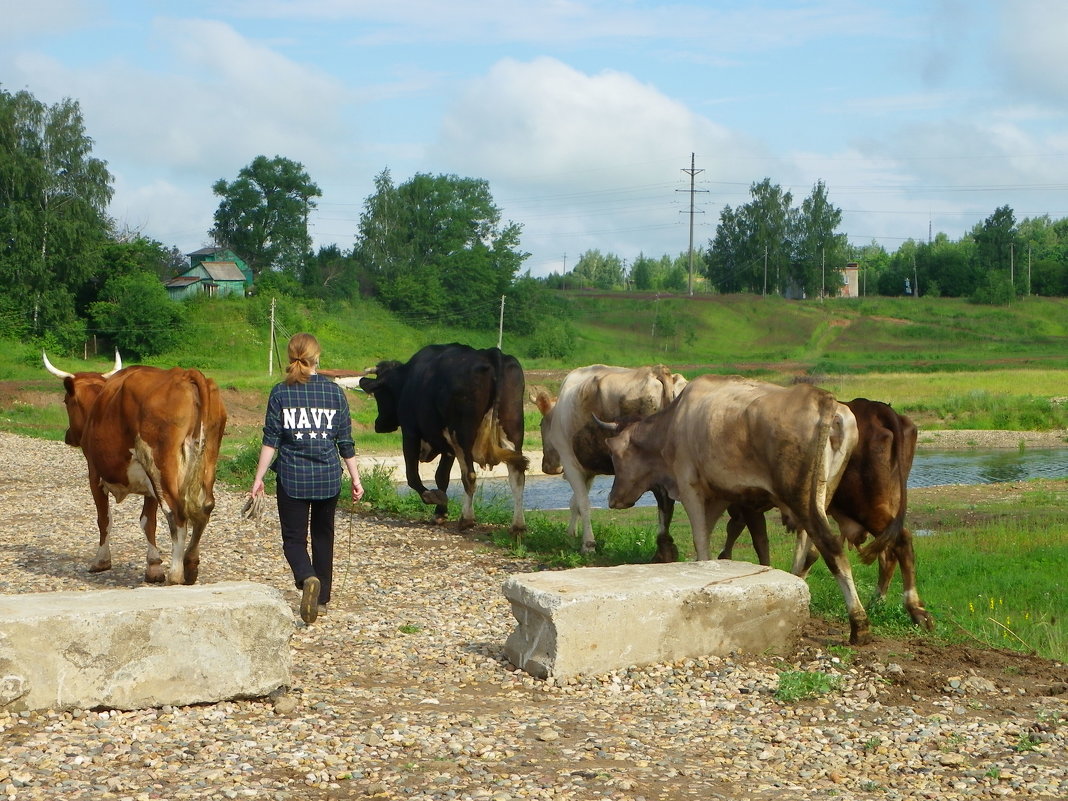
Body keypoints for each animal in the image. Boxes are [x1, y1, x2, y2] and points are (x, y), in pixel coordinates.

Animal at [44, 354, 227, 585]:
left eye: (66, 402)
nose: (68, 435)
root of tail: (183, 374)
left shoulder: (95, 474)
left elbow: (104, 519)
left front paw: (101, 560)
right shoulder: (149, 485)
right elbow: (148, 522)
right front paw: (154, 567)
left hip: (162, 468)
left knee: (176, 513)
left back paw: (176, 573)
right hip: (204, 462)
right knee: (205, 507)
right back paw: (190, 564)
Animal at [356, 343, 527, 534]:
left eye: (379, 394)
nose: (379, 424)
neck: (407, 378)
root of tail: (491, 353)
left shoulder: (410, 432)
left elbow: (412, 475)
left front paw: (432, 497)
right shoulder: (447, 445)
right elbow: (441, 477)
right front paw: (440, 512)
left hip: (462, 434)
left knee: (469, 475)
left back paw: (466, 519)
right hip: (512, 430)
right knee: (517, 475)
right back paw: (518, 526)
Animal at [531, 363, 683, 559]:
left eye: (541, 425)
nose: (547, 467)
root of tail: (657, 370)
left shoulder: (571, 463)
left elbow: (583, 503)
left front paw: (588, 544)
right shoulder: (588, 471)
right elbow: (574, 503)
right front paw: (571, 534)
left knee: (664, 500)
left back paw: (663, 551)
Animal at [602, 375, 875, 645]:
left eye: (614, 455)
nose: (612, 499)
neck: (673, 422)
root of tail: (824, 399)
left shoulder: (690, 485)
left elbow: (701, 539)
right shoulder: (719, 494)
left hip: (800, 497)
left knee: (831, 549)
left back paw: (858, 624)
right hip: (821, 495)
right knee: (809, 549)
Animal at [717, 399, 935, 632]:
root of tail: (876, 408)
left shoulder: (749, 506)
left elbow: (761, 545)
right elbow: (804, 551)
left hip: (863, 504)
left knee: (901, 540)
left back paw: (915, 609)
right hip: (887, 501)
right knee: (887, 551)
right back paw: (877, 602)